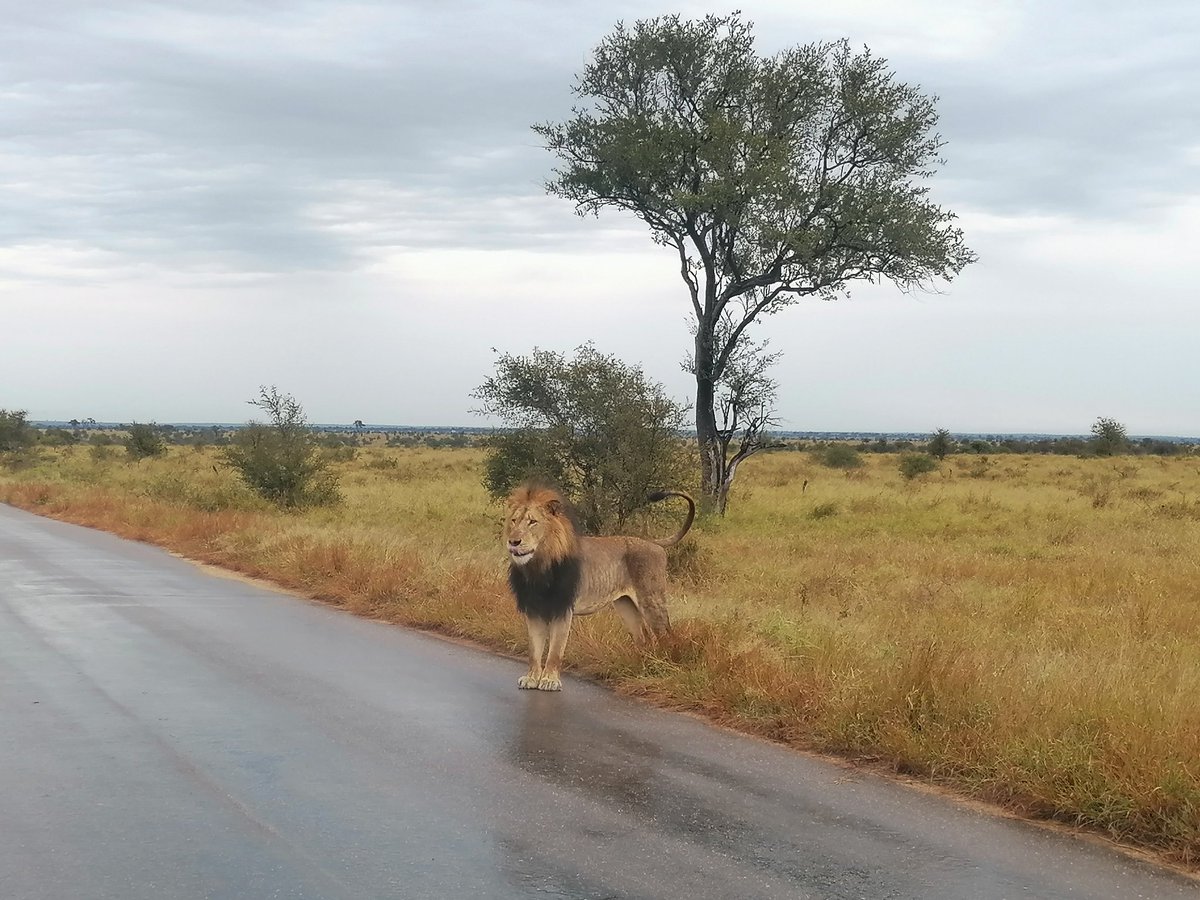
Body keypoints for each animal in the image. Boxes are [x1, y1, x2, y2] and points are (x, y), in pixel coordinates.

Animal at [504, 481, 695, 692]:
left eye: (532, 522)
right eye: (514, 521)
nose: (513, 541)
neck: (537, 566)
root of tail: (651, 542)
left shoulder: (563, 609)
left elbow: (555, 651)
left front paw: (549, 680)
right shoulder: (533, 610)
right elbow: (534, 650)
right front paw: (531, 678)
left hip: (651, 600)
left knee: (668, 637)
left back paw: (666, 667)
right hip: (626, 606)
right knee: (643, 638)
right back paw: (640, 669)